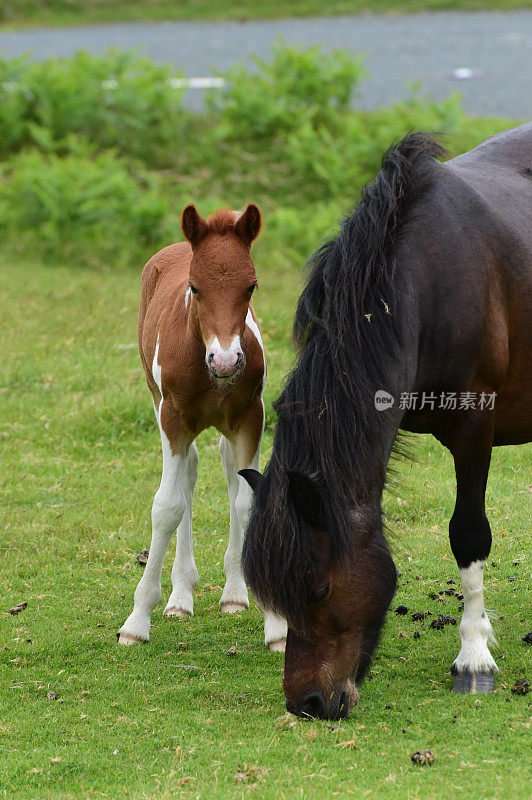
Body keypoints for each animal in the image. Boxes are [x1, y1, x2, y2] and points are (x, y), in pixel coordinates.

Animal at [119, 205, 288, 648]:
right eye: (194, 288)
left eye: (251, 286)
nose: (226, 360)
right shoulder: (173, 419)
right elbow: (167, 506)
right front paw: (136, 623)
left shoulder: (251, 416)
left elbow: (247, 501)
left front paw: (276, 625)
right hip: (159, 403)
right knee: (188, 473)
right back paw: (180, 595)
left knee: (227, 466)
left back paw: (233, 594)